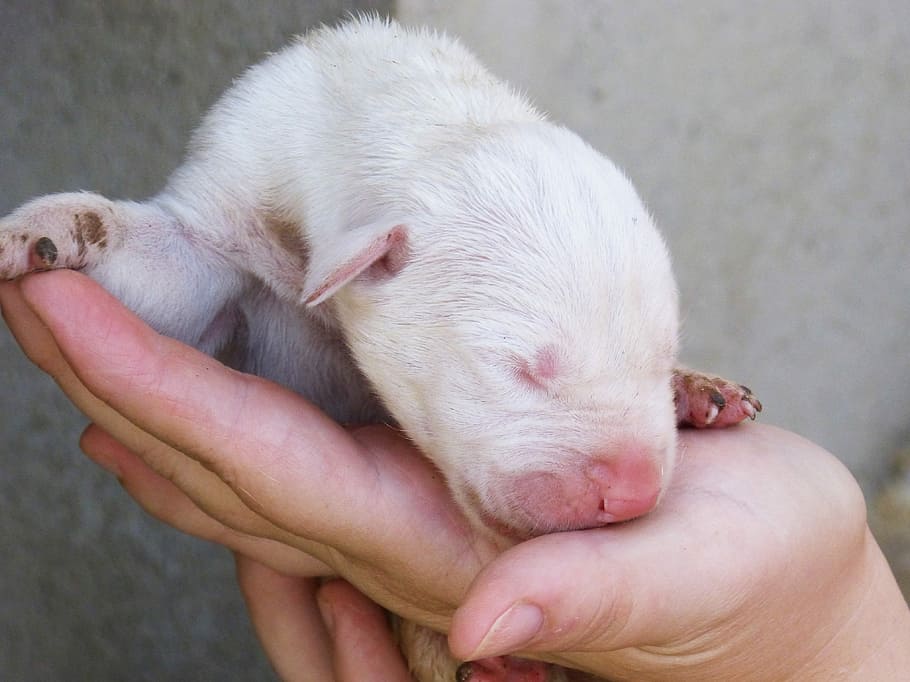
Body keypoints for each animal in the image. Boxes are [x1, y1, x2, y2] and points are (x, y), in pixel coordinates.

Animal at [0, 15, 764, 680]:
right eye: (523, 370)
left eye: (657, 357)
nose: (634, 493)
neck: (436, 122)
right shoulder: (227, 207)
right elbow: (163, 266)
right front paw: (47, 230)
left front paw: (687, 384)